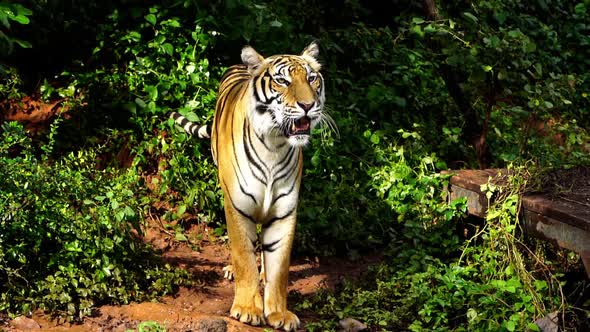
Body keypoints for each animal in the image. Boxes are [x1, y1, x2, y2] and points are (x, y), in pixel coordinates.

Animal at [170, 42, 332, 330]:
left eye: (312, 78)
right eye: (282, 81)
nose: (308, 105)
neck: (275, 146)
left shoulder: (284, 212)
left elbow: (279, 266)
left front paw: (278, 313)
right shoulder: (237, 206)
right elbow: (244, 257)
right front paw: (246, 309)